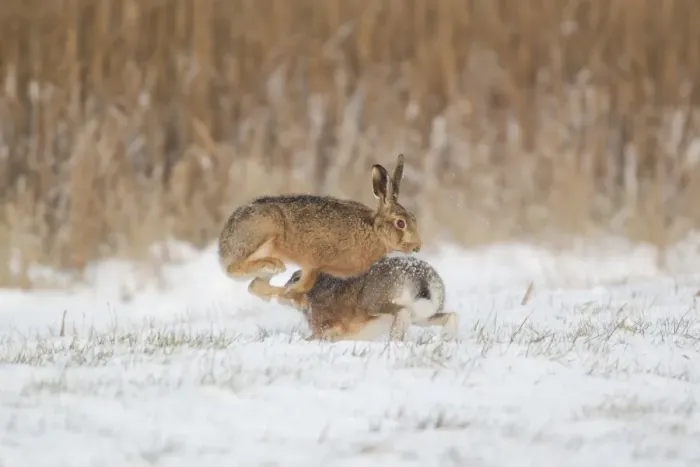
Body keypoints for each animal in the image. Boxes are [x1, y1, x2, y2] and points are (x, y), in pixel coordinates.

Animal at [218, 154, 422, 303]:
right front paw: (292, 293)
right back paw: (272, 266)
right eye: (401, 223)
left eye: (413, 218)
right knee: (234, 268)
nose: (417, 247)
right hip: (263, 231)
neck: (374, 230)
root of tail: (223, 247)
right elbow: (306, 285)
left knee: (253, 285)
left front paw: (290, 294)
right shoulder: (313, 262)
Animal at [269, 255, 460, 342]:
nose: (283, 292)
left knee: (401, 312)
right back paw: (447, 339)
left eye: (296, 278)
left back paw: (394, 340)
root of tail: (420, 278)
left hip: (375, 304)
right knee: (450, 316)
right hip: (422, 316)